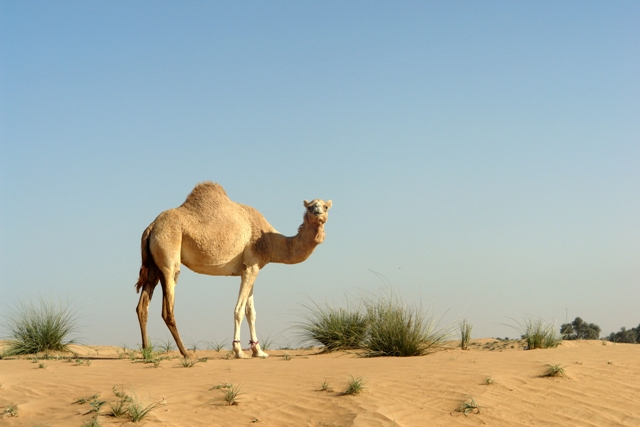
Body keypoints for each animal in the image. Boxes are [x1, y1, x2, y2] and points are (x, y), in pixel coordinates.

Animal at [136, 182, 336, 360]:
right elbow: (239, 311)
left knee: (142, 306)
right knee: (168, 310)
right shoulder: (252, 267)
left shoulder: (249, 268)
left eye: (325, 206)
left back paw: (147, 353)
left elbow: (251, 312)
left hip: (153, 266)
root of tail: (151, 227)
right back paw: (186, 353)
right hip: (169, 258)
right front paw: (239, 351)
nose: (318, 213)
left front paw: (258, 351)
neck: (271, 240)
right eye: (310, 206)